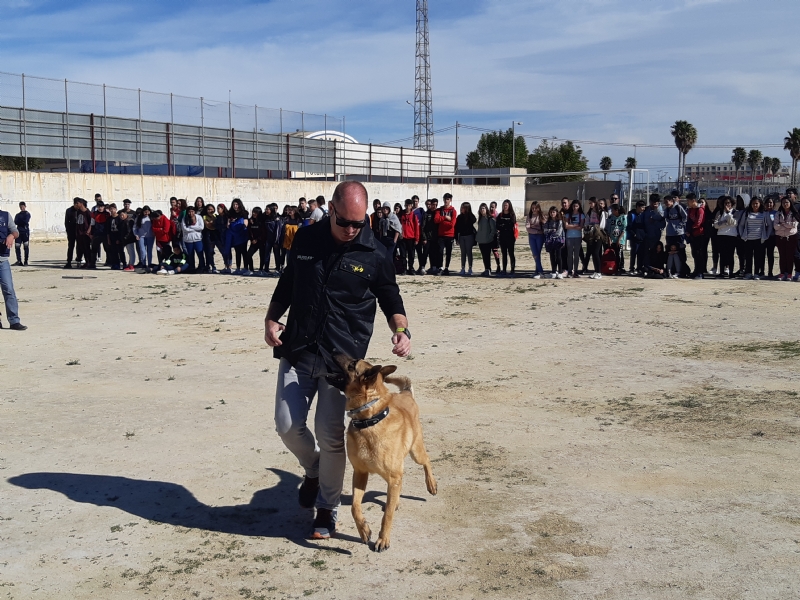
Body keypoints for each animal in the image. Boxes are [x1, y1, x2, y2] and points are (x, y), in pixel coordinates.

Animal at [332, 352, 438, 552]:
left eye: (352, 364)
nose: (334, 350)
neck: (369, 421)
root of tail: (405, 393)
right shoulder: (360, 474)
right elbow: (355, 507)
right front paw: (364, 530)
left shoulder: (393, 476)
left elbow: (387, 515)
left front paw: (383, 539)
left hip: (416, 452)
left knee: (427, 461)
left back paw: (431, 484)